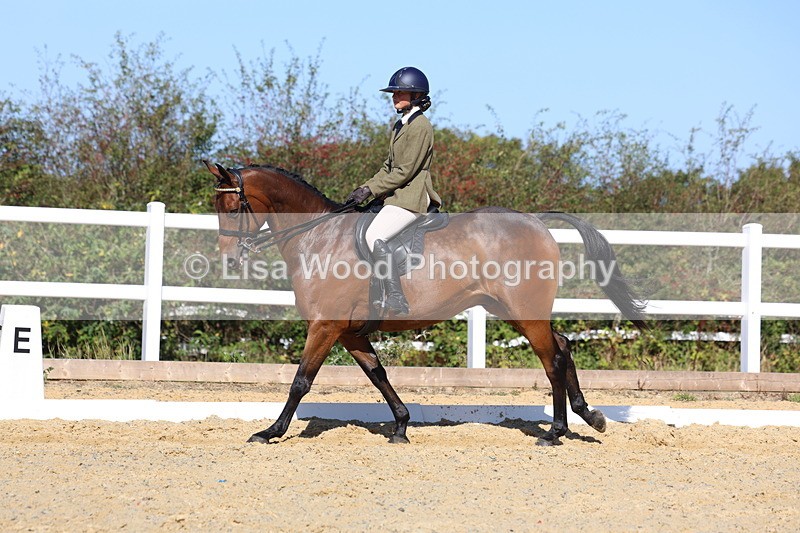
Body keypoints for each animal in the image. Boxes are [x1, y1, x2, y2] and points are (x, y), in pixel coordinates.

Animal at [204, 161, 647, 445]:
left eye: (233, 207)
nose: (228, 259)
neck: (317, 237)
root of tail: (535, 221)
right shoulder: (348, 333)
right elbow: (378, 374)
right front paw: (400, 427)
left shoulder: (325, 326)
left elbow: (300, 382)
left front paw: (270, 432)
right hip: (516, 311)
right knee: (564, 346)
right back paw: (588, 417)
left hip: (525, 313)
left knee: (552, 358)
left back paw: (555, 433)